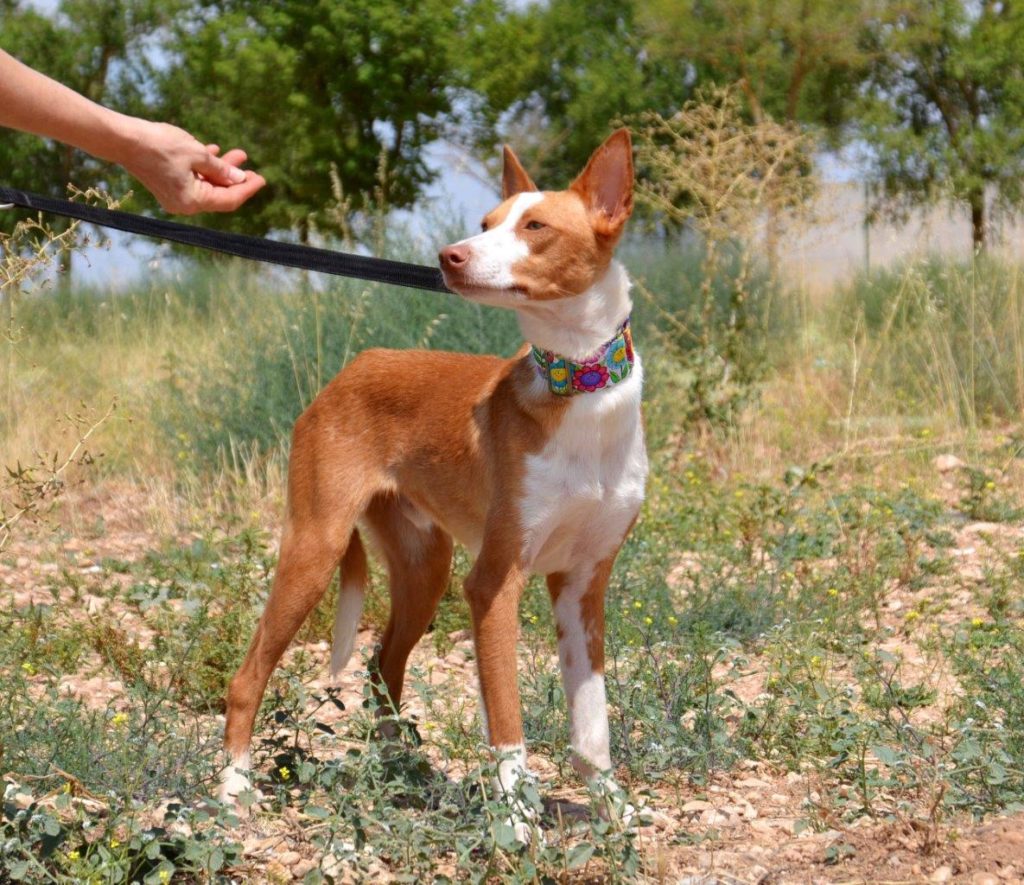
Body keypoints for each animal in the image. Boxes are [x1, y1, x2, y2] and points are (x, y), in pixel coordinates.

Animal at [219, 128, 643, 831]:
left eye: (535, 226)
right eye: (486, 223)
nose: (450, 256)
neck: (581, 385)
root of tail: (351, 369)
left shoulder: (584, 584)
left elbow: (593, 723)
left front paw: (612, 806)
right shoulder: (493, 583)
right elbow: (507, 725)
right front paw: (518, 822)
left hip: (425, 567)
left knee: (382, 668)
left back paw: (398, 770)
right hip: (316, 548)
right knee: (249, 674)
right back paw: (232, 786)